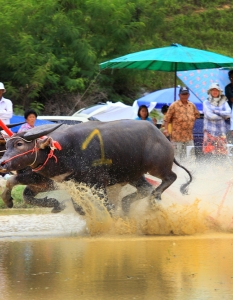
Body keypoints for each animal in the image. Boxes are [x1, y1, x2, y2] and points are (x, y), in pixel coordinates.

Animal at [0, 120, 192, 214]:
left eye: (19, 144)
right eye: (7, 144)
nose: (3, 163)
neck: (64, 152)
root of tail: (163, 138)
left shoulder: (98, 184)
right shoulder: (60, 184)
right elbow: (25, 195)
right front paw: (56, 205)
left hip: (157, 167)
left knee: (170, 178)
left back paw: (154, 199)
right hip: (132, 175)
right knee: (145, 188)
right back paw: (127, 205)